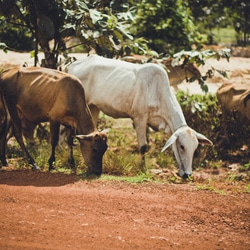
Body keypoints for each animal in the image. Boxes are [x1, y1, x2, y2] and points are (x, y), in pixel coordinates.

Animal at [68, 54, 213, 178]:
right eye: (182, 146)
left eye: (195, 147)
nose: (187, 174)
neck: (158, 92)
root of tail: (73, 65)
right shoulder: (139, 119)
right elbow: (143, 147)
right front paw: (143, 169)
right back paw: (72, 163)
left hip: (93, 107)